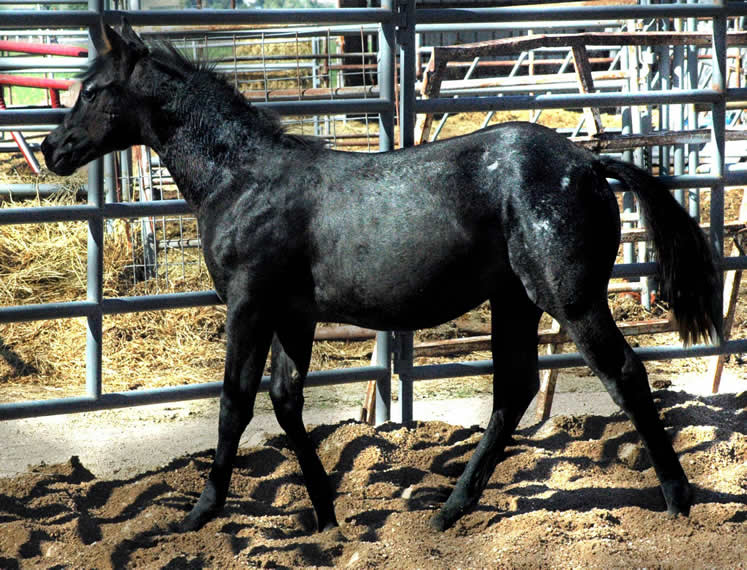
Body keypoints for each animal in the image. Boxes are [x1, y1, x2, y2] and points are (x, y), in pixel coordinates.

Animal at [42, 20, 724, 532]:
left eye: (92, 90)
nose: (53, 149)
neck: (241, 178)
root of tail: (586, 161)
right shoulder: (294, 314)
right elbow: (286, 402)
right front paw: (326, 518)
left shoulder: (249, 305)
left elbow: (236, 403)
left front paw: (200, 514)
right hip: (515, 300)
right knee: (515, 390)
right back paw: (449, 510)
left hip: (570, 299)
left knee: (624, 375)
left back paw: (677, 499)